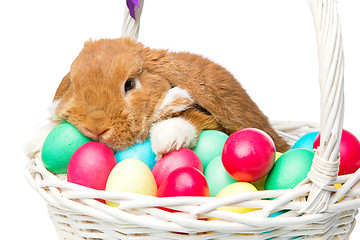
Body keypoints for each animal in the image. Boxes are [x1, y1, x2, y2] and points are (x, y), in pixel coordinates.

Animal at [30, 38, 290, 159]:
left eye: (129, 84)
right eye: (74, 85)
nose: (95, 128)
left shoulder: (209, 119)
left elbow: (191, 117)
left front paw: (167, 140)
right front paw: (36, 141)